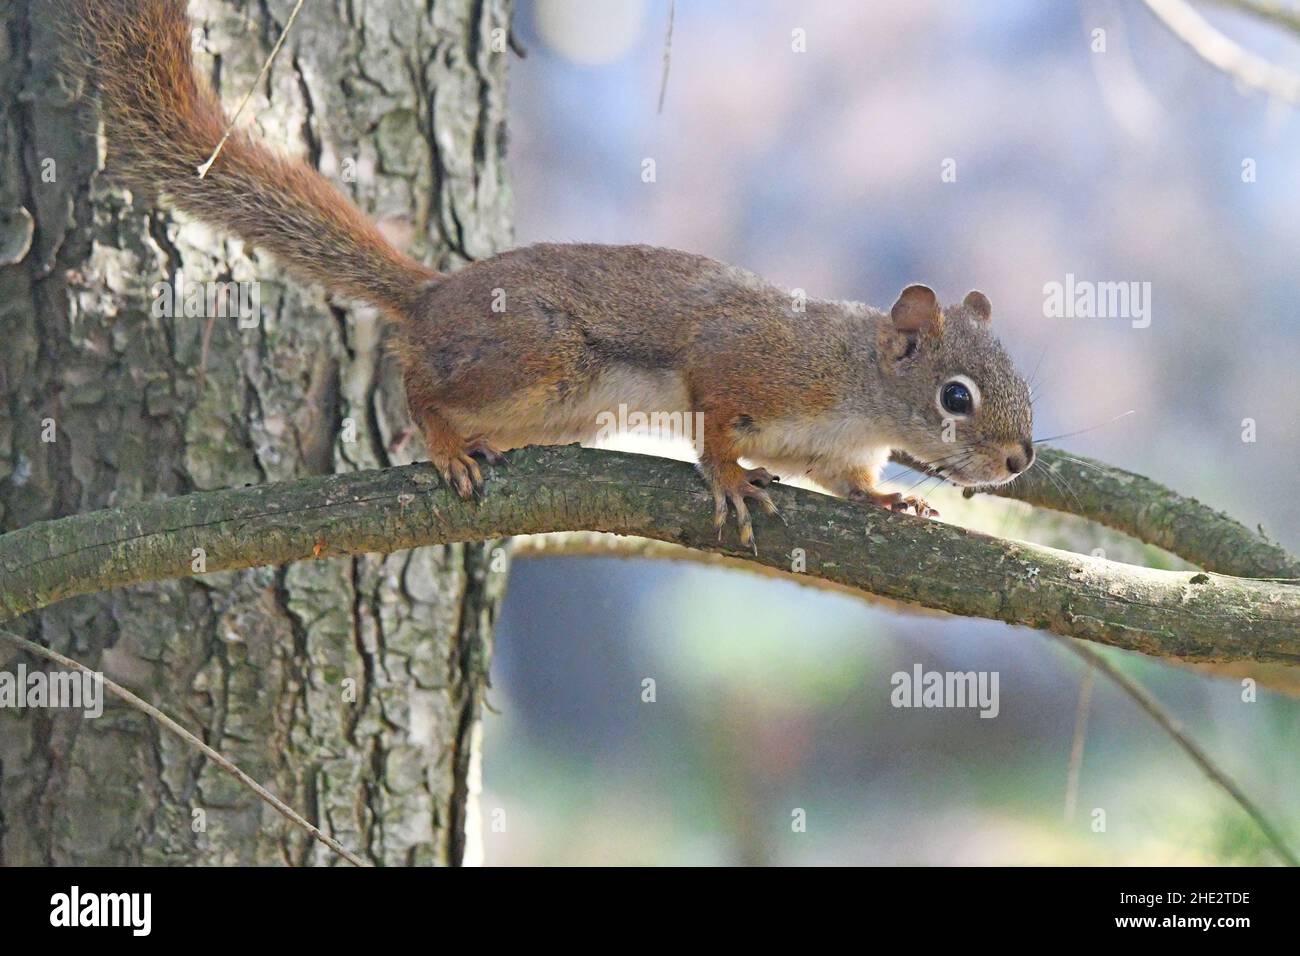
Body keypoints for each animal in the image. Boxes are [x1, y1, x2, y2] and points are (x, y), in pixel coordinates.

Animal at [74, 0, 1034, 549]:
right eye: (956, 396)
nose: (1020, 461)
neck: (854, 387)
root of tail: (435, 294)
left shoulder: (831, 453)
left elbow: (851, 485)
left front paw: (893, 503)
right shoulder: (750, 361)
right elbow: (713, 413)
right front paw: (728, 477)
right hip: (536, 357)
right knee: (418, 380)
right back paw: (444, 440)